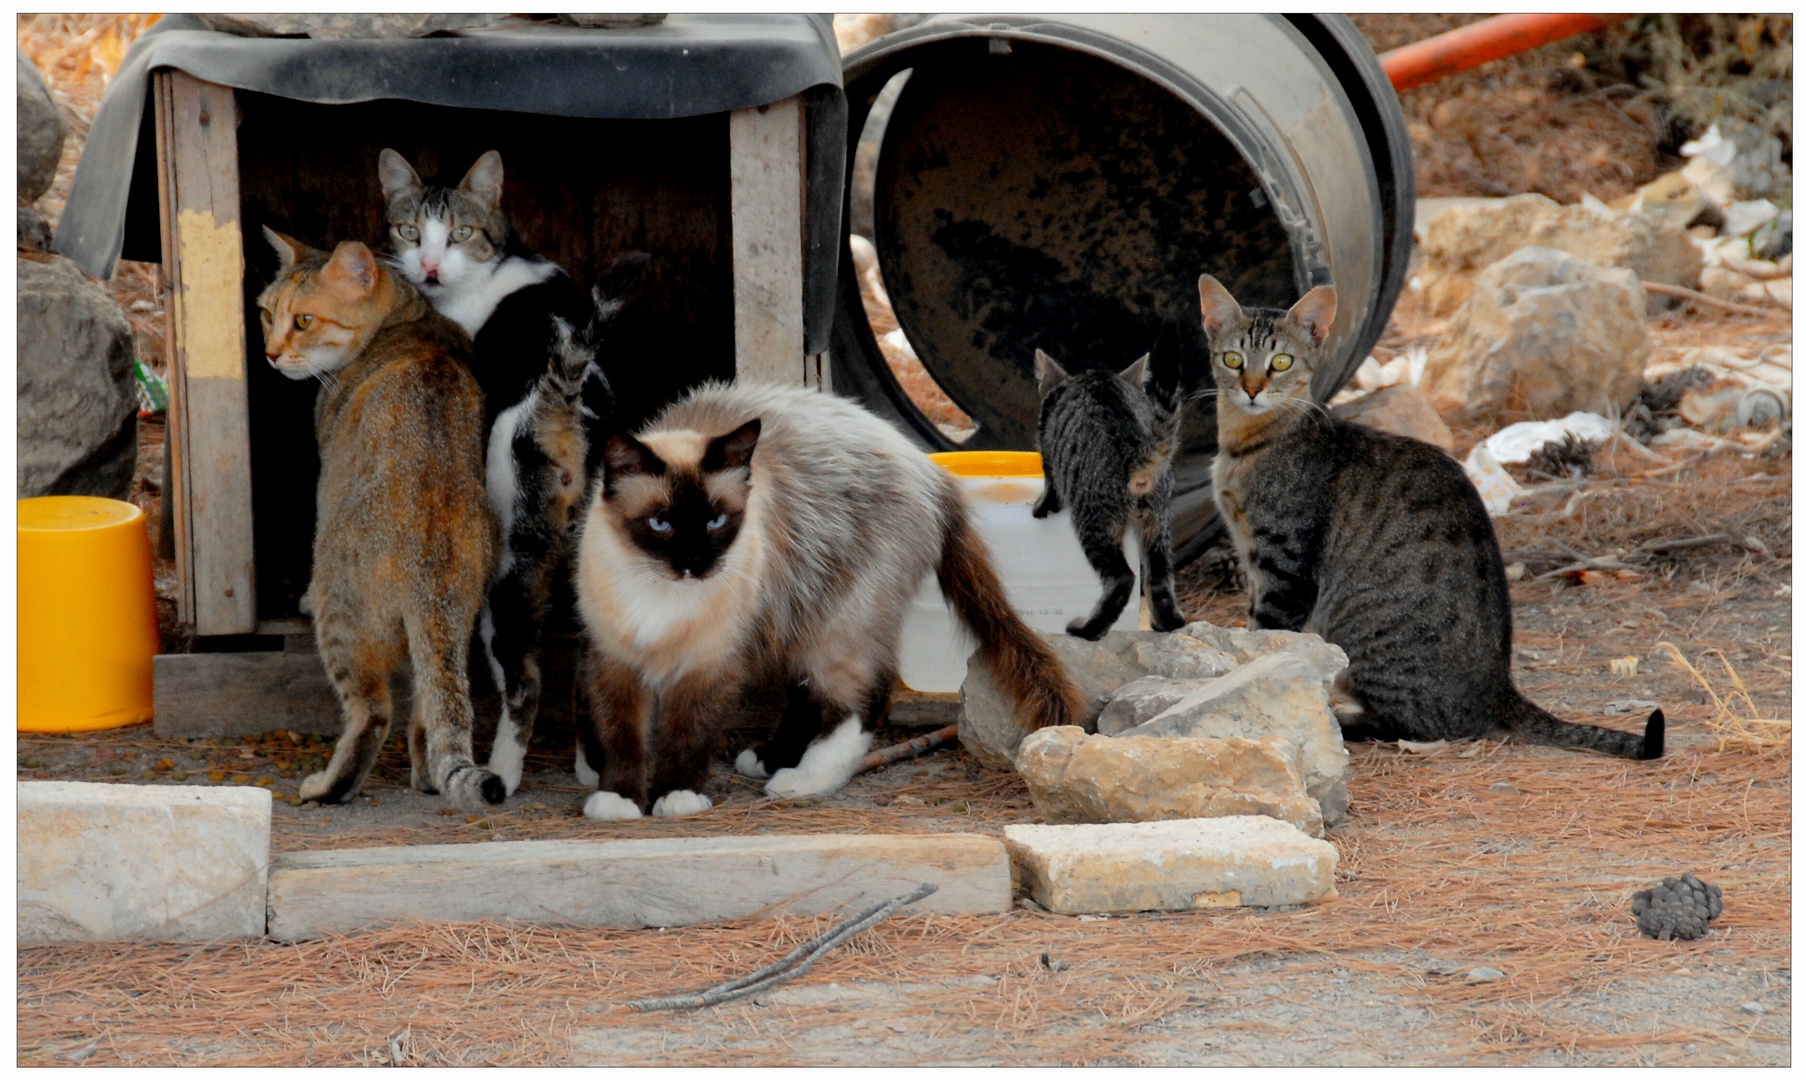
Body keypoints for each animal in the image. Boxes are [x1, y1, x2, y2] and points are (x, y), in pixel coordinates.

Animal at [258, 228, 505, 812]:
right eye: (266, 313)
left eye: (304, 320)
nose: (271, 353)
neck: (408, 321)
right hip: (450, 629)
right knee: (431, 708)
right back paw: (428, 775)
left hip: (342, 617)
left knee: (373, 712)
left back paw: (327, 787)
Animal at [1033, 343, 1184, 639]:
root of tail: (1138, 452)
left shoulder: (1049, 459)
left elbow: (1050, 492)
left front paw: (1038, 508)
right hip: (1157, 525)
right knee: (1158, 579)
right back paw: (1167, 623)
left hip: (1094, 523)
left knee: (1123, 579)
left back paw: (1087, 629)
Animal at [1199, 272, 1661, 762]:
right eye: (1233, 358)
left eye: (1281, 362)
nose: (1251, 388)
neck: (1245, 446)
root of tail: (1500, 690)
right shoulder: (1252, 559)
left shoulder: (1284, 570)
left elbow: (1263, 637)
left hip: (1371, 641)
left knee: (1414, 723)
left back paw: (1345, 719)